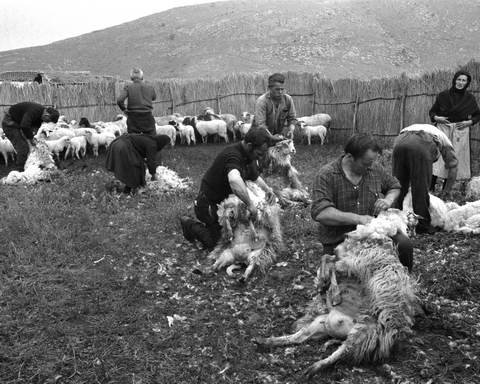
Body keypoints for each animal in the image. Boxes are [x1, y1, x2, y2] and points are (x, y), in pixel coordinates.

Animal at [255, 208, 420, 376]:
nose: (384, 208)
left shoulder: (353, 263)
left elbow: (331, 263)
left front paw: (332, 292)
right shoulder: (343, 258)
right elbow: (326, 259)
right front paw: (323, 284)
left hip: (363, 332)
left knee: (341, 353)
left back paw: (314, 368)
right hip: (319, 324)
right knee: (299, 338)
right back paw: (266, 341)